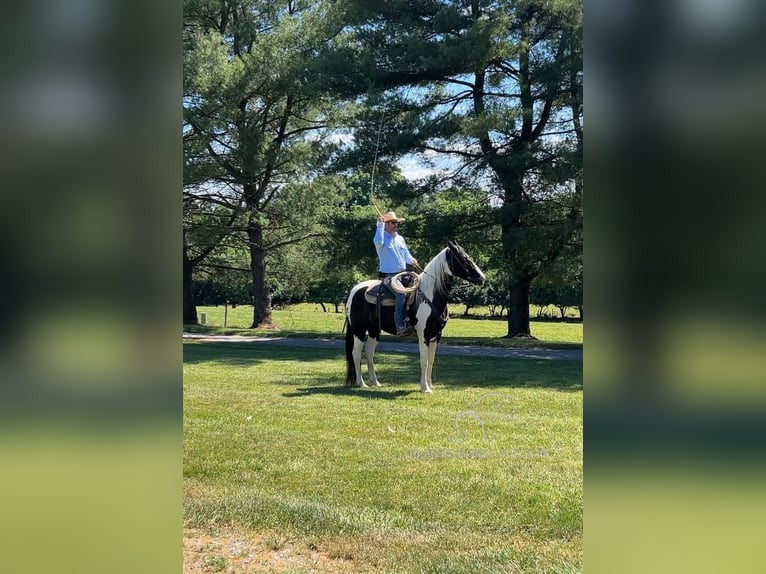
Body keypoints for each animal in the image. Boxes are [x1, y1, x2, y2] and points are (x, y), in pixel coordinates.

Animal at [346, 241, 486, 394]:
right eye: (463, 258)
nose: (482, 277)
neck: (430, 297)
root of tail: (354, 290)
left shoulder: (436, 335)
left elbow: (431, 360)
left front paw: (430, 385)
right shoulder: (423, 335)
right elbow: (424, 360)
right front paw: (425, 388)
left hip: (374, 331)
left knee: (369, 353)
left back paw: (375, 382)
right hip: (359, 330)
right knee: (356, 353)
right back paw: (361, 383)